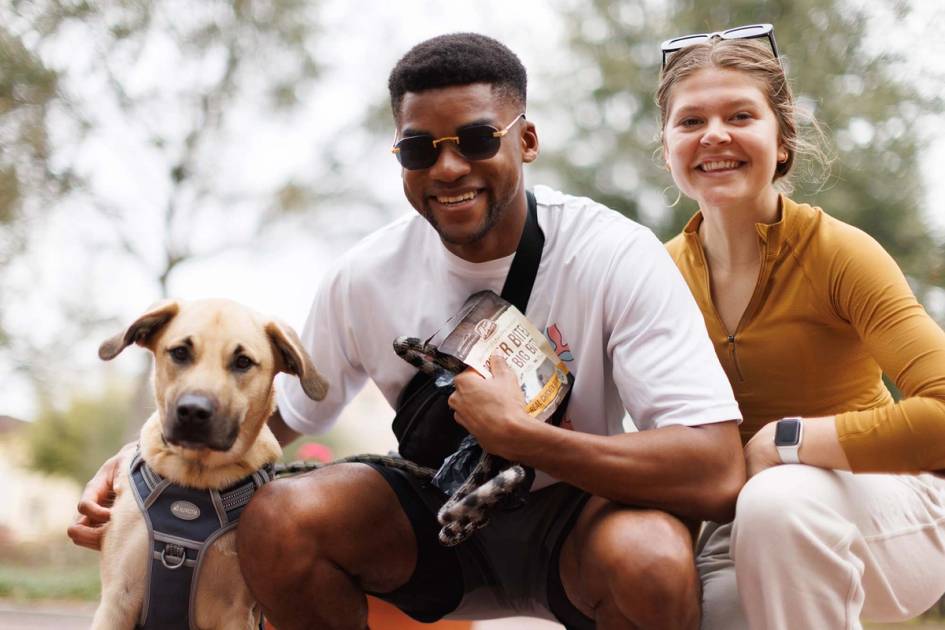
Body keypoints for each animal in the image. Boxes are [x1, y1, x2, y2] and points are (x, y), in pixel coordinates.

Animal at [91, 298, 328, 628]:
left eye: (243, 362)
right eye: (180, 352)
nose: (193, 411)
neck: (195, 477)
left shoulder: (235, 613)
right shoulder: (117, 601)